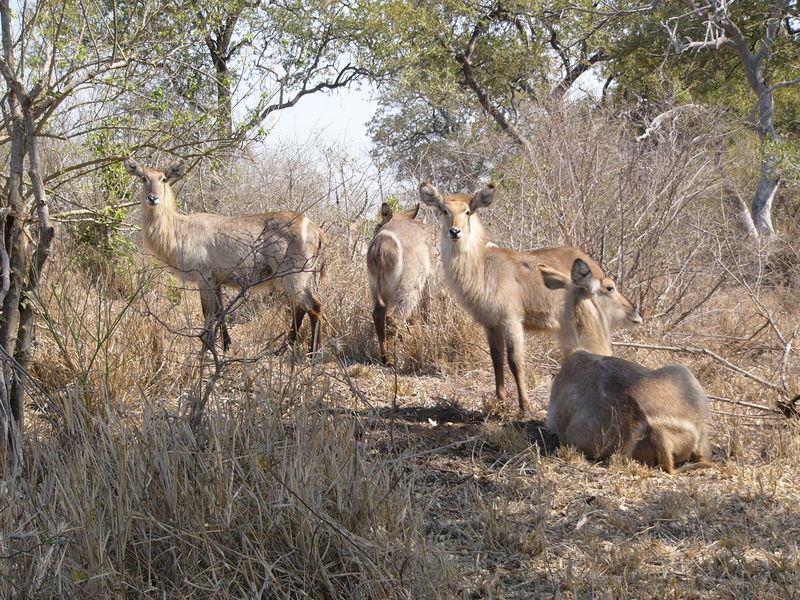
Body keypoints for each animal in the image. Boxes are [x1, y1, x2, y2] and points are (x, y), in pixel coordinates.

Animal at [125, 158, 324, 352]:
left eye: (164, 178)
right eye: (143, 178)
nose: (153, 198)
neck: (179, 229)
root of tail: (314, 227)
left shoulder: (204, 278)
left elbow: (208, 313)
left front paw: (205, 350)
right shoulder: (217, 281)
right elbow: (220, 312)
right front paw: (226, 345)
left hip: (294, 277)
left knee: (313, 306)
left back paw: (312, 352)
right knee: (300, 308)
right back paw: (286, 346)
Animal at [368, 202, 434, 364]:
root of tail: (383, 240)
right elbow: (426, 314)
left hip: (376, 288)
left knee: (378, 315)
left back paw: (385, 357)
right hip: (410, 287)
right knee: (393, 318)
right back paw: (394, 358)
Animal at [422, 184, 616, 418]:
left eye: (468, 211)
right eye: (444, 210)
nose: (454, 231)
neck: (481, 266)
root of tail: (591, 262)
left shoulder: (511, 320)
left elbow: (515, 361)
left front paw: (525, 406)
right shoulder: (490, 324)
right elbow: (496, 359)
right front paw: (501, 402)